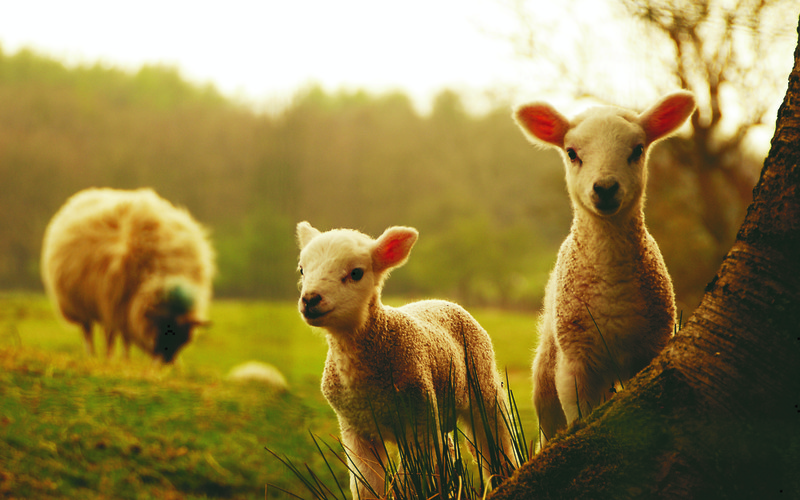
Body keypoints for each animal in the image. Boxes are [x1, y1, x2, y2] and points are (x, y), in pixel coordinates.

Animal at [41, 187, 215, 363]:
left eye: (183, 338)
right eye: (161, 328)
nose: (165, 363)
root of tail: (86, 194)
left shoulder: (126, 307)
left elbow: (126, 338)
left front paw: (126, 360)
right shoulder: (116, 303)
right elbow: (114, 336)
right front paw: (114, 359)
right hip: (79, 304)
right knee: (88, 331)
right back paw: (93, 355)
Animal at [296, 221, 516, 499]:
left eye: (356, 273)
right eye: (302, 270)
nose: (310, 300)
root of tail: (442, 300)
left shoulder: (418, 419)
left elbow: (412, 482)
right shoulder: (356, 429)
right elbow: (366, 485)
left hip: (482, 385)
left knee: (496, 444)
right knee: (447, 451)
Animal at [513, 91, 696, 444]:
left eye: (637, 150)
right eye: (572, 153)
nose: (606, 188)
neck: (612, 284)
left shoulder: (650, 350)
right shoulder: (575, 364)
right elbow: (578, 418)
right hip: (546, 370)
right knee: (548, 428)